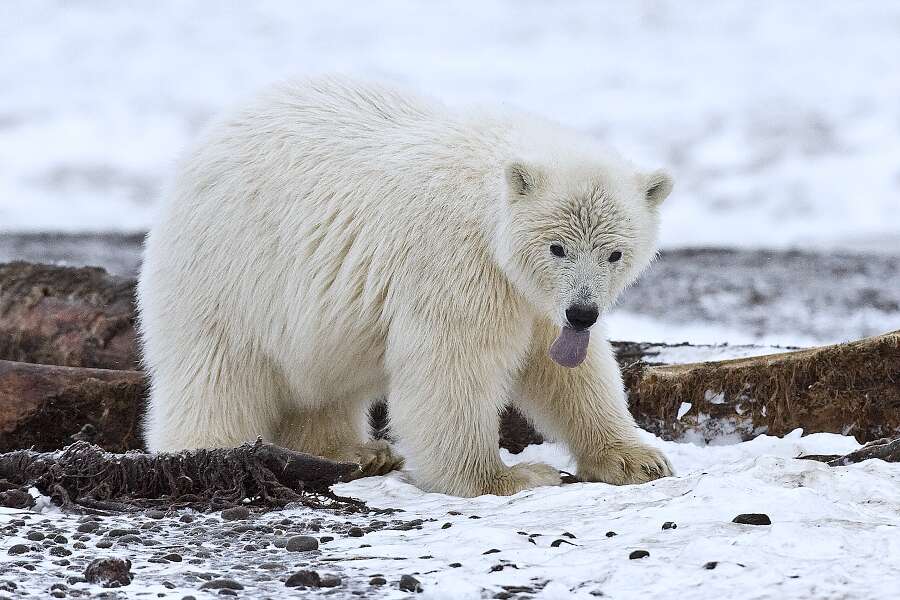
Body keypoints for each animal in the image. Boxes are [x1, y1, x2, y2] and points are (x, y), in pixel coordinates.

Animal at [137, 76, 676, 496]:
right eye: (557, 248)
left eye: (615, 253)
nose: (583, 312)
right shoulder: (456, 260)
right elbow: (451, 365)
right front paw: (507, 477)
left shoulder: (533, 297)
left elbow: (567, 368)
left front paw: (638, 460)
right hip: (227, 273)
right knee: (216, 375)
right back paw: (208, 455)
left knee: (322, 385)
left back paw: (357, 451)